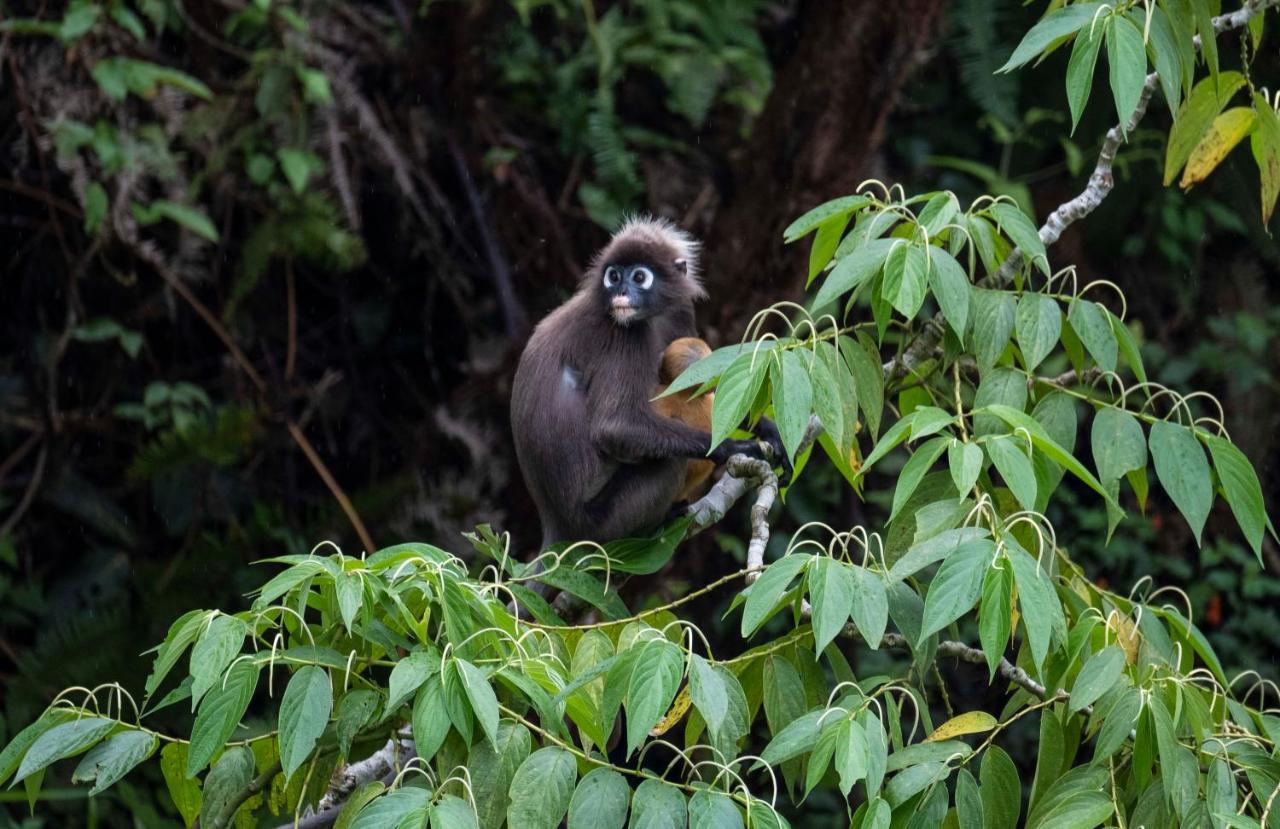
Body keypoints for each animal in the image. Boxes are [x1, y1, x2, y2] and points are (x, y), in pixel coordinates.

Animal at [509, 217, 778, 547]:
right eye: (613, 276)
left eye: (639, 277)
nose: (621, 292)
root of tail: (558, 525)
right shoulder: (623, 333)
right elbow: (614, 426)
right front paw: (729, 447)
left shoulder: (679, 308)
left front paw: (766, 427)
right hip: (605, 521)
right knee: (669, 462)